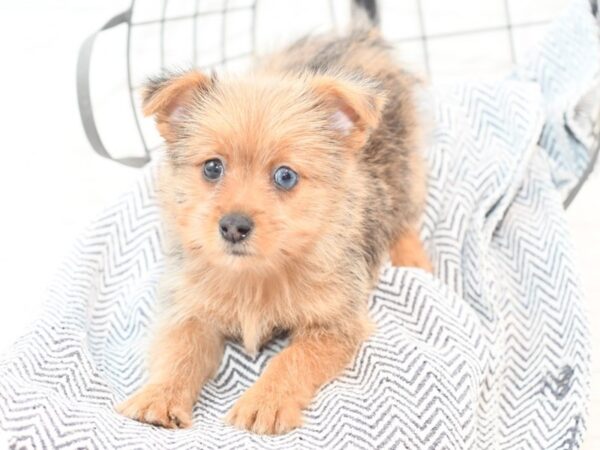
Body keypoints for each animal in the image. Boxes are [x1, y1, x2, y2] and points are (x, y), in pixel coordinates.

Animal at [116, 26, 432, 434]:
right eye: (213, 168)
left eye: (285, 176)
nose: (233, 226)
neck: (257, 275)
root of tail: (358, 35)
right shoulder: (190, 312)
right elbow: (179, 352)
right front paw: (159, 396)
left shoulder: (333, 324)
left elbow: (292, 359)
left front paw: (264, 403)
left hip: (404, 166)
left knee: (405, 214)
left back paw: (415, 260)